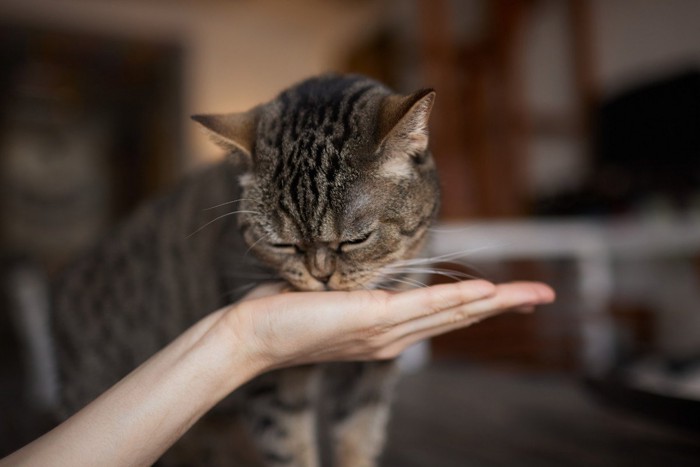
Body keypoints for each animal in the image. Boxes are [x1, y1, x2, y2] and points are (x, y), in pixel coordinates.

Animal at [49, 75, 440, 466]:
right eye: (283, 246)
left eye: (355, 240)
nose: (321, 276)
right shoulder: (274, 387)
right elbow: (291, 450)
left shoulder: (370, 374)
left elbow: (359, 439)